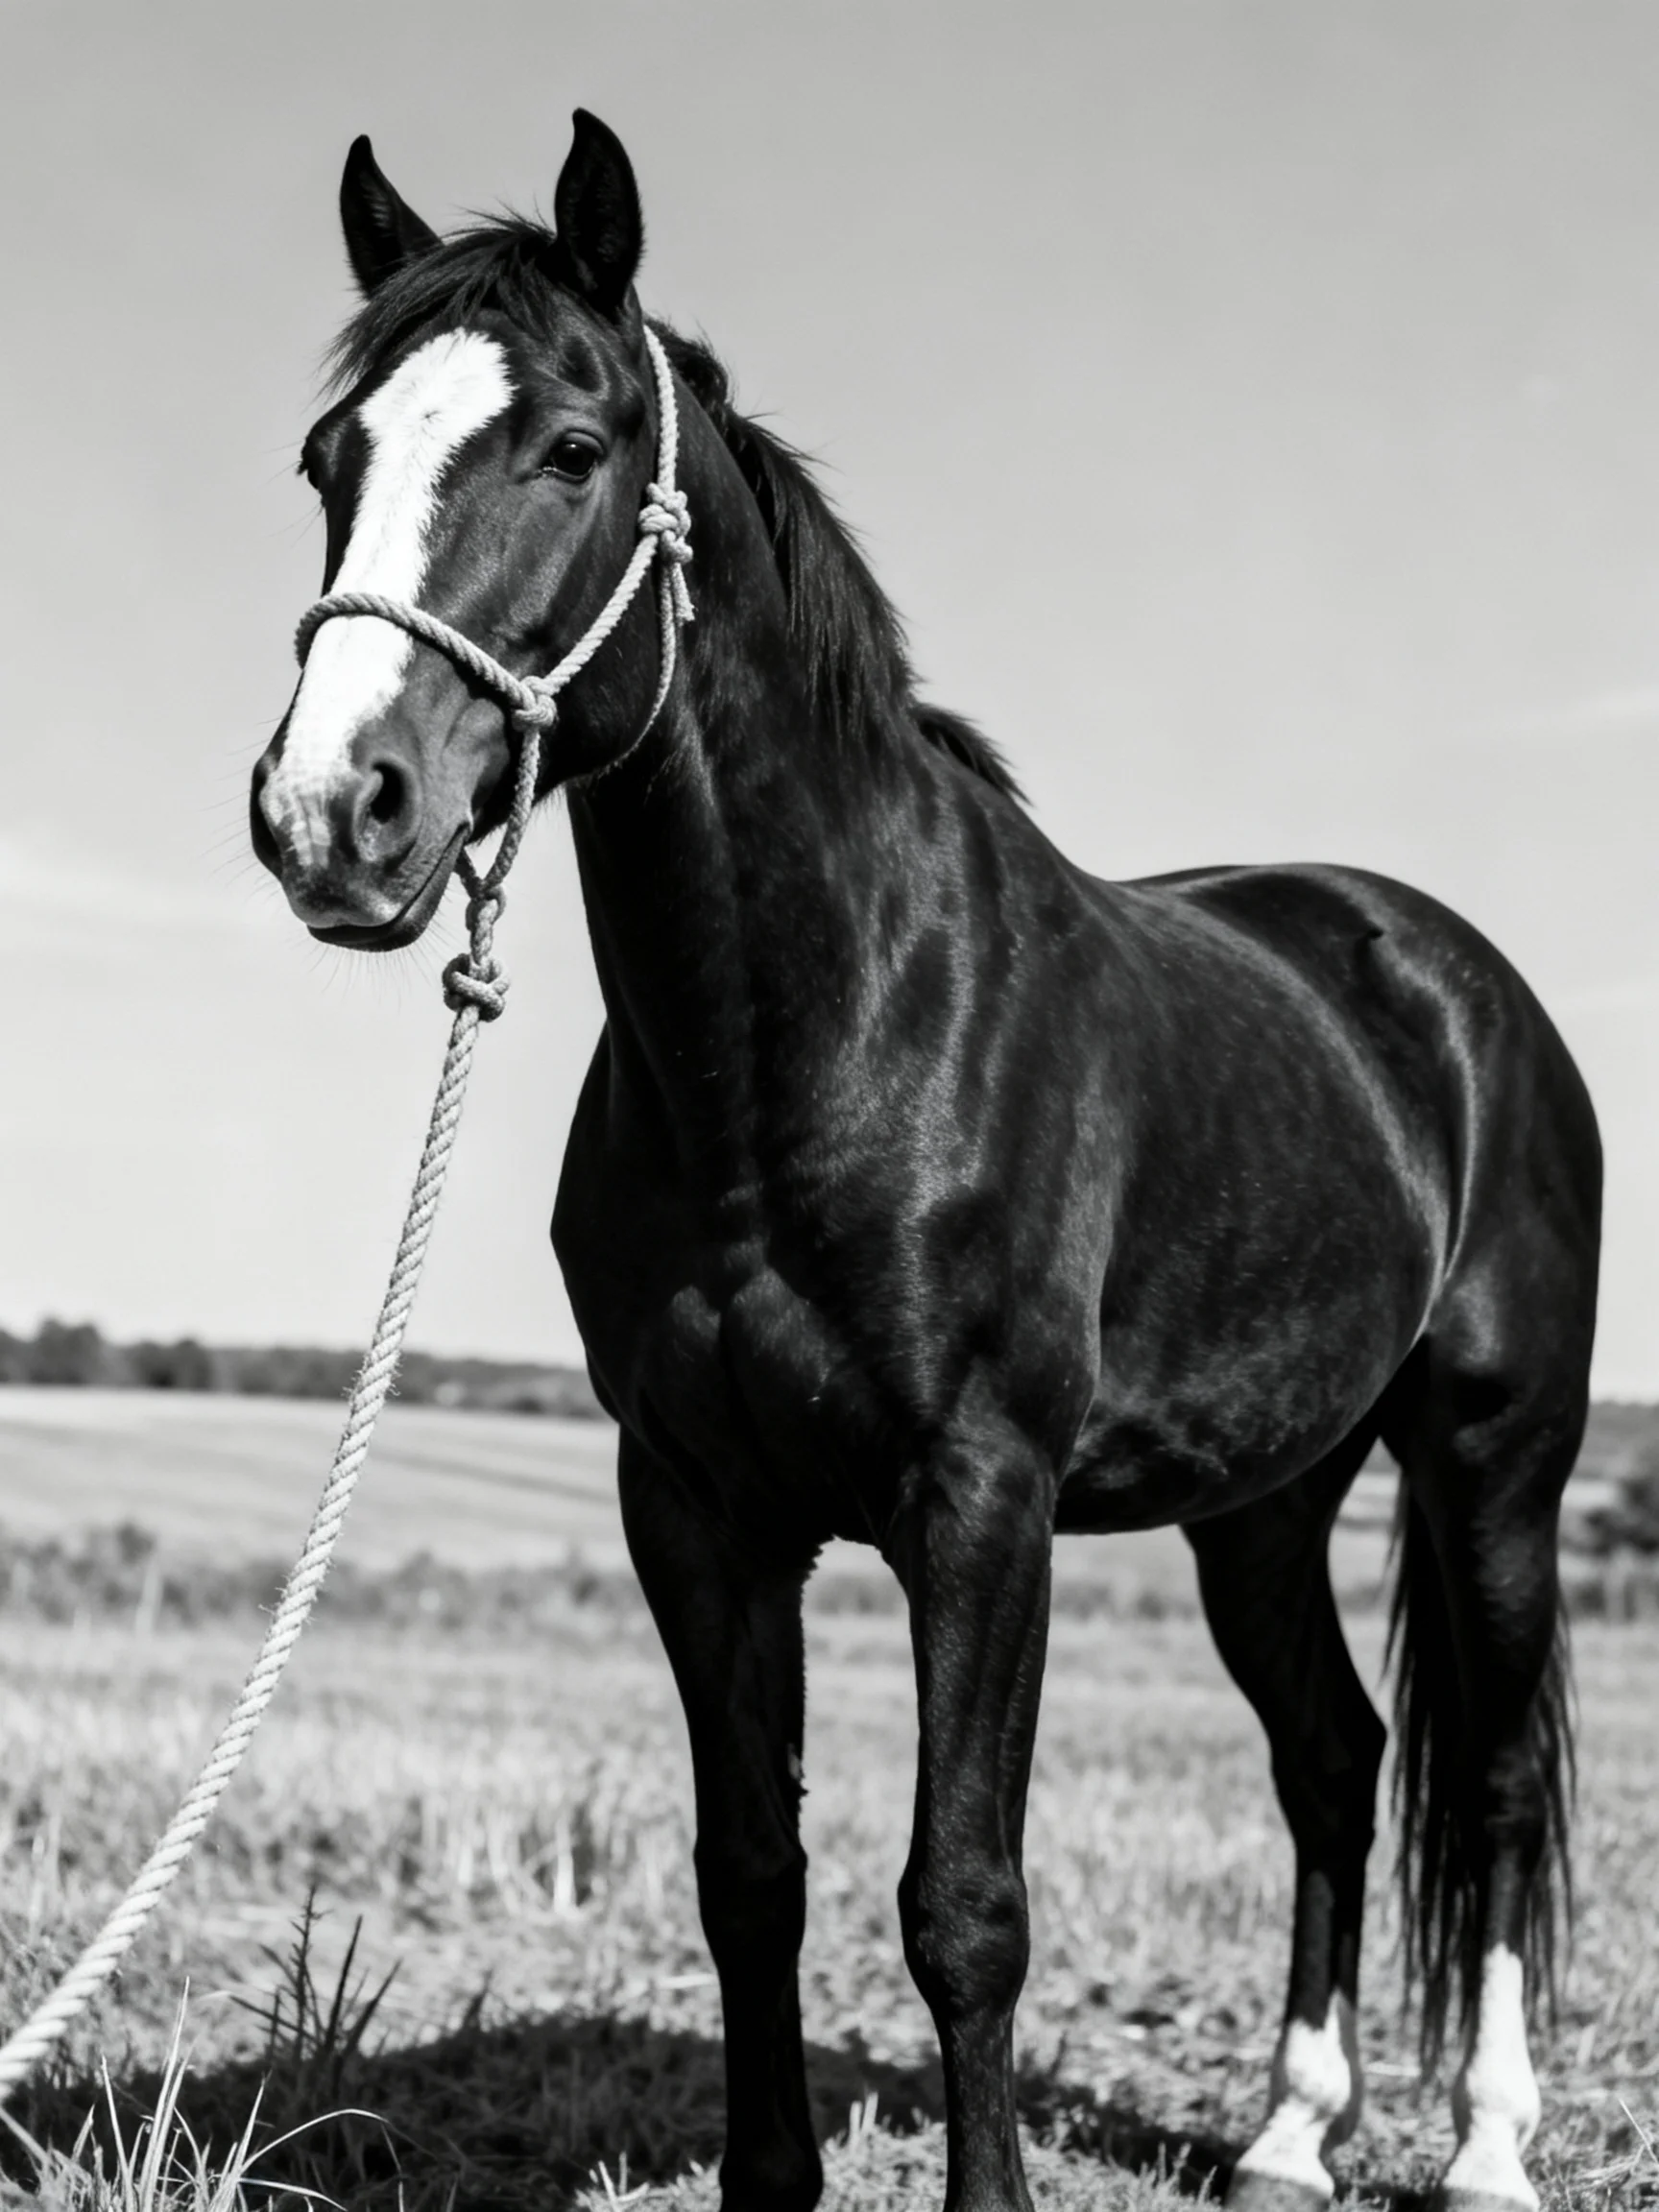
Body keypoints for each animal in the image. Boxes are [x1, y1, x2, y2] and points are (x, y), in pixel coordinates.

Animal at [250, 112, 1600, 2212]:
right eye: (333, 459)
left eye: (571, 446)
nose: (331, 813)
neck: (818, 1037)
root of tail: (1449, 977)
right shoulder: (698, 1507)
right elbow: (750, 1875)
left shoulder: (980, 1501)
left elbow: (965, 1902)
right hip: (1259, 1503)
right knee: (1334, 1753)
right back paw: (1288, 2135)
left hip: (1491, 1463)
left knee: (1506, 1778)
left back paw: (1483, 2150)